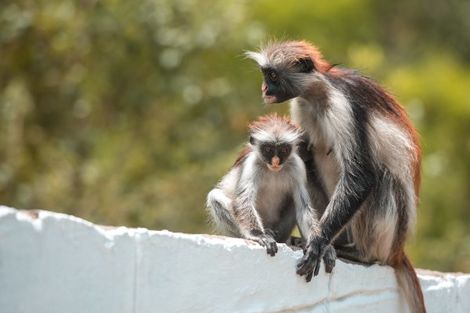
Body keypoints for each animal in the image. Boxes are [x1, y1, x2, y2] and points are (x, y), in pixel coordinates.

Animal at [207, 115, 336, 278]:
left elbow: (303, 207)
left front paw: (315, 246)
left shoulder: (297, 166)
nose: (275, 161)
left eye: (284, 150)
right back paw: (264, 233)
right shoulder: (252, 164)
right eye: (268, 149)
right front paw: (258, 235)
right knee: (215, 196)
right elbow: (244, 201)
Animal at [246, 41, 426, 312]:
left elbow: (360, 177)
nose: (264, 89)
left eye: (273, 76)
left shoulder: (343, 106)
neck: (319, 92)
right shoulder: (301, 105)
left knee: (382, 179)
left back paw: (360, 254)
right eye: (265, 75)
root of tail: (396, 251)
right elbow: (302, 155)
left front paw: (318, 243)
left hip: (388, 234)